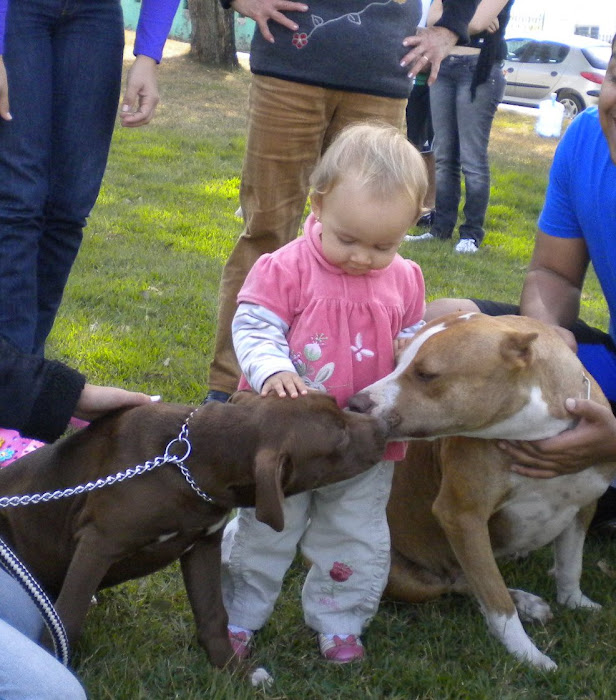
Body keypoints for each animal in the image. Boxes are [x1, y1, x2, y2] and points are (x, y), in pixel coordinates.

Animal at [0, 392, 384, 668]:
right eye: (340, 439)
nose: (382, 424)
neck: (189, 459)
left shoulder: (203, 544)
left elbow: (214, 613)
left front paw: (233, 671)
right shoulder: (98, 543)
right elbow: (67, 618)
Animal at [348, 314, 616, 668]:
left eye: (426, 374)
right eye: (396, 362)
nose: (354, 403)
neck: (538, 432)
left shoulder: (583, 505)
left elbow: (571, 563)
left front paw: (575, 600)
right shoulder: (462, 517)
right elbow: (495, 598)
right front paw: (527, 653)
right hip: (404, 576)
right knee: (457, 582)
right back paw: (523, 602)